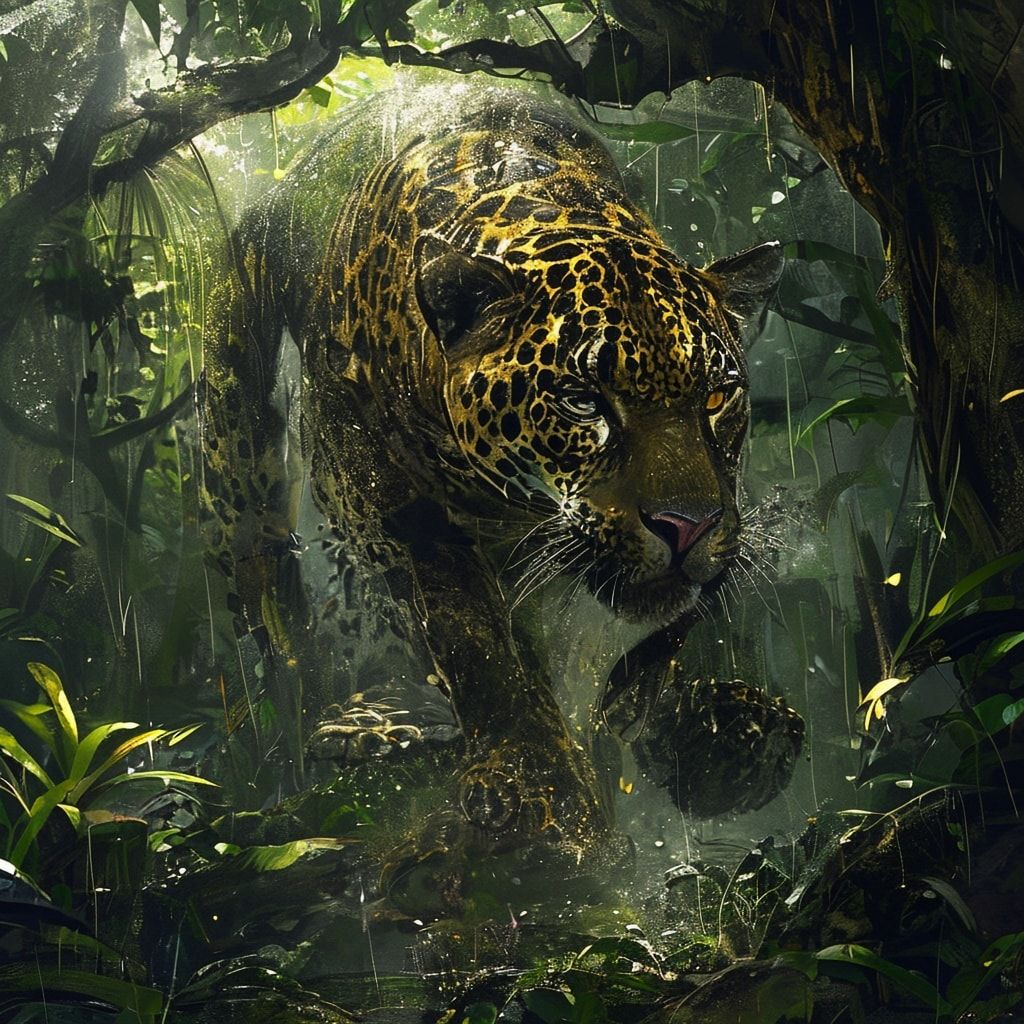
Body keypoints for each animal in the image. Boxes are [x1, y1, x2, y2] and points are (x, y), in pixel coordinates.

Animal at [202, 79, 803, 855]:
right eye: (583, 400)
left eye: (717, 396)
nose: (686, 526)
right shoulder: (387, 498)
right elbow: (473, 640)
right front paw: (539, 786)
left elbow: (670, 626)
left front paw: (681, 724)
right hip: (240, 443)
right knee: (279, 626)